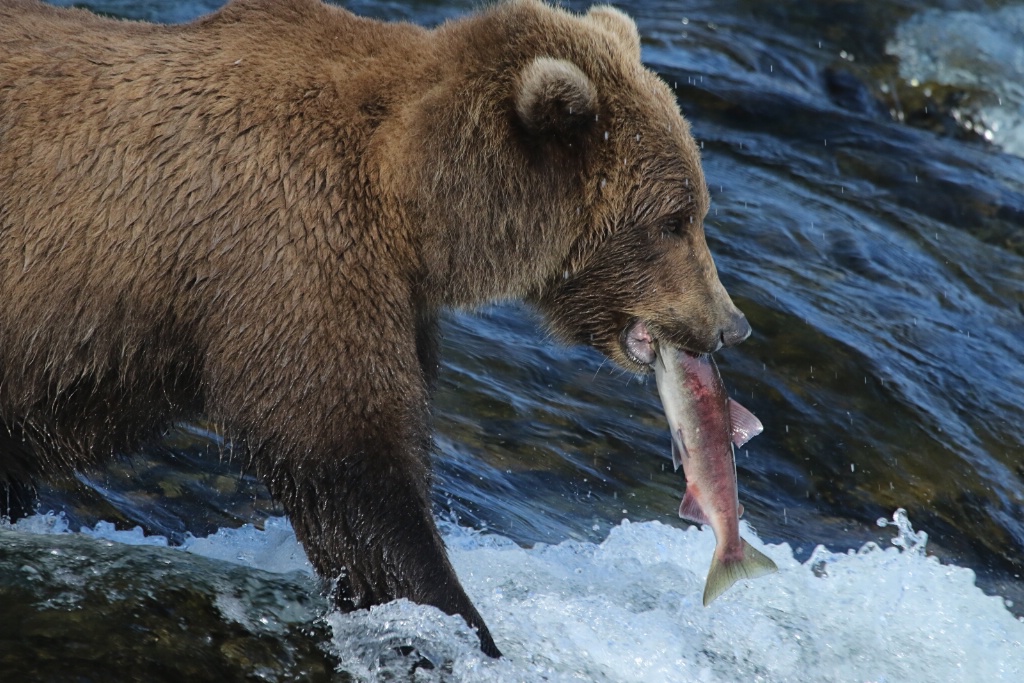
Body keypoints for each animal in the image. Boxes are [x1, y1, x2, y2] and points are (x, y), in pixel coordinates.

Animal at [0, 0, 753, 659]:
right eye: (674, 220)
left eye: (698, 208)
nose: (730, 325)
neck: (415, 207)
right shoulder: (298, 254)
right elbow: (351, 462)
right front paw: (460, 625)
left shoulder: (390, 300)